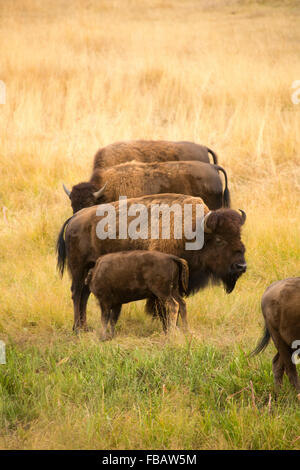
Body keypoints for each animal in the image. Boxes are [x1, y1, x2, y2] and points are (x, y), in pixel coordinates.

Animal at [55, 193, 246, 332]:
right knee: (77, 294)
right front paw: (167, 328)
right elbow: (162, 306)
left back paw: (84, 327)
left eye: (239, 236)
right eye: (220, 239)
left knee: (84, 295)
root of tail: (75, 218)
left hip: (90, 269)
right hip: (78, 268)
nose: (241, 266)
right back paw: (77, 329)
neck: (192, 231)